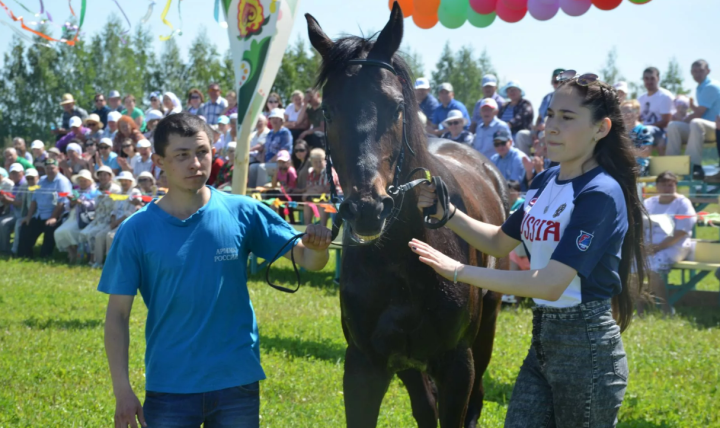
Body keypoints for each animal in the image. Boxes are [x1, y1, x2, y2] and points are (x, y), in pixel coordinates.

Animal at [306, 2, 510, 424]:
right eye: (329, 111)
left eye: (396, 106)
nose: (368, 208)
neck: (400, 258)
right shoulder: (365, 365)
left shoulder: (457, 366)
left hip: (486, 330)